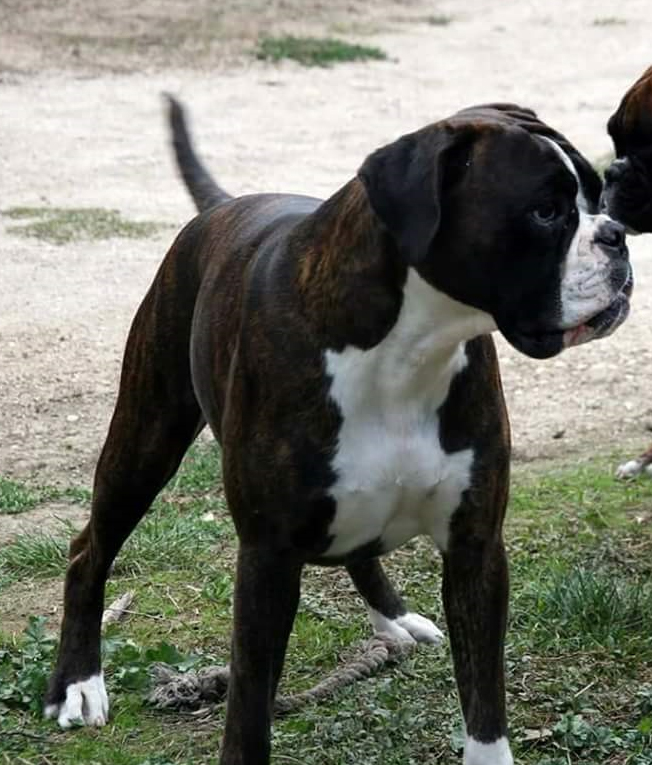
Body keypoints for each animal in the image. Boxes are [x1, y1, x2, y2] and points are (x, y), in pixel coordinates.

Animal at [45, 97, 632, 765]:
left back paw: (395, 618)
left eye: (597, 195)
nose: (617, 235)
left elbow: (484, 698)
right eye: (545, 211)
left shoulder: (475, 547)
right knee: (88, 551)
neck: (407, 346)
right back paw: (78, 683)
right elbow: (249, 704)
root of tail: (224, 205)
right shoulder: (268, 559)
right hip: (145, 441)